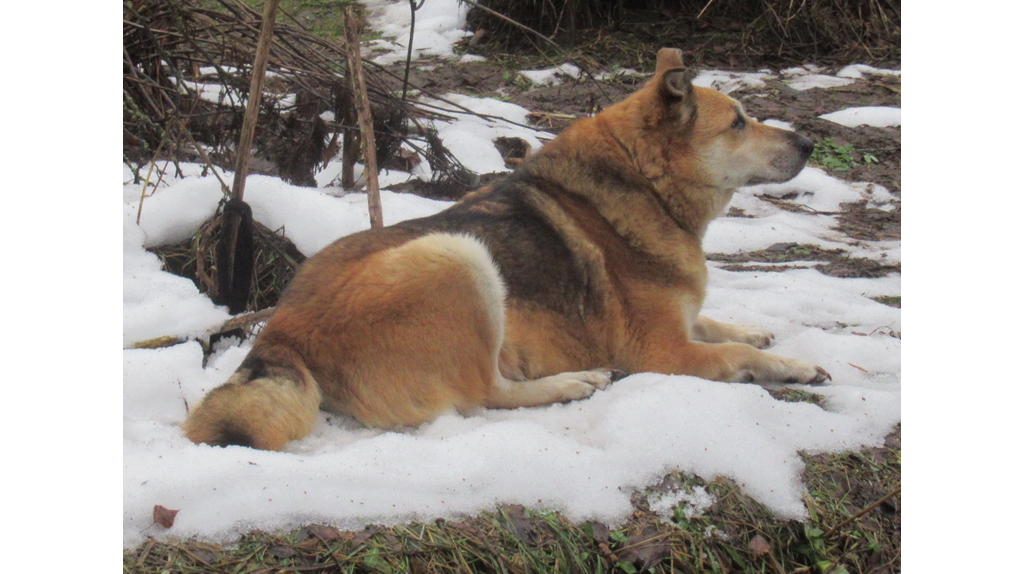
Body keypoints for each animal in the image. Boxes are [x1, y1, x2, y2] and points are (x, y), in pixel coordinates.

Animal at [184, 48, 827, 452]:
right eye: (738, 123)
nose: (809, 142)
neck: (645, 183)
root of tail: (282, 331)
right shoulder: (662, 351)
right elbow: (729, 355)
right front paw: (793, 365)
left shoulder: (684, 321)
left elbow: (717, 324)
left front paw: (757, 332)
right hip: (459, 258)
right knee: (485, 394)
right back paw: (572, 383)